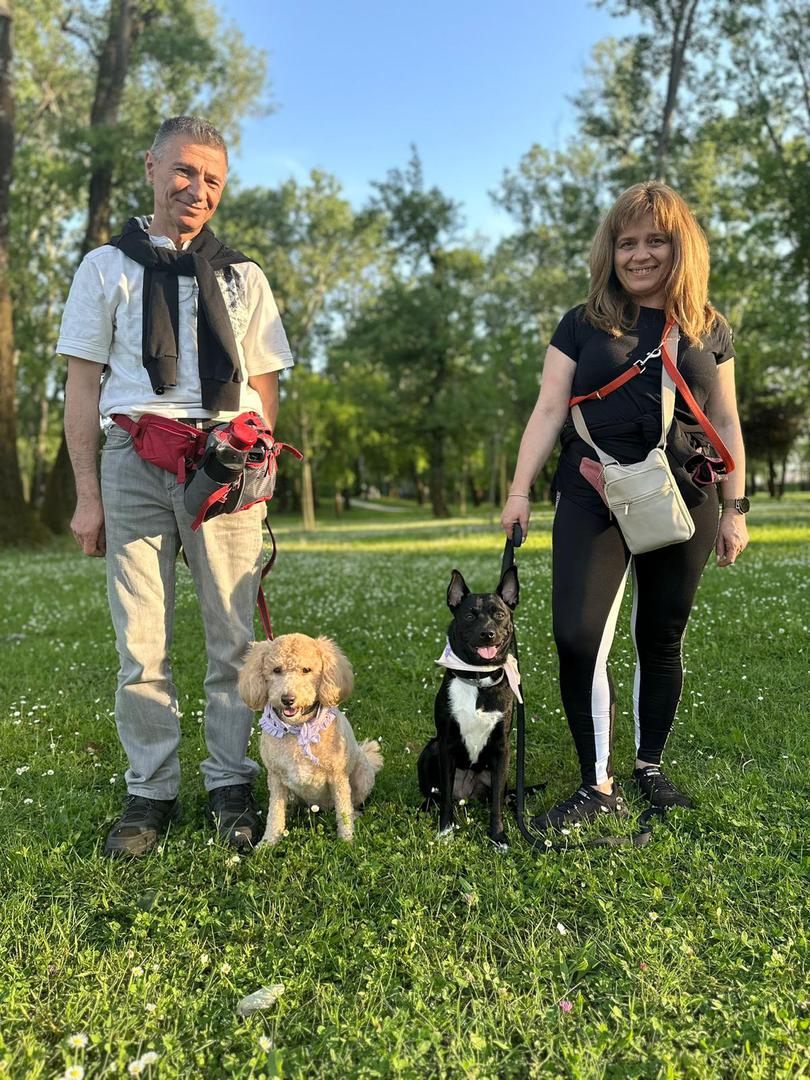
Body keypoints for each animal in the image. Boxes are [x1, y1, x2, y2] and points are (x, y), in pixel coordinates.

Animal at [238, 633, 383, 845]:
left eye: (306, 670)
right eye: (276, 670)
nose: (287, 699)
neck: (298, 729)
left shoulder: (338, 777)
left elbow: (343, 811)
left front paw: (347, 841)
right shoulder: (276, 779)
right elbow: (275, 814)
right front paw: (268, 843)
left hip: (362, 778)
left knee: (352, 802)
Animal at [417, 565, 520, 848]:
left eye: (499, 614)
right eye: (470, 615)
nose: (488, 633)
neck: (478, 680)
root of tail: (466, 795)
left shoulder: (502, 749)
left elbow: (496, 803)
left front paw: (498, 836)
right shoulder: (446, 744)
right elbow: (444, 802)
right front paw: (445, 830)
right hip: (431, 750)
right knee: (437, 795)